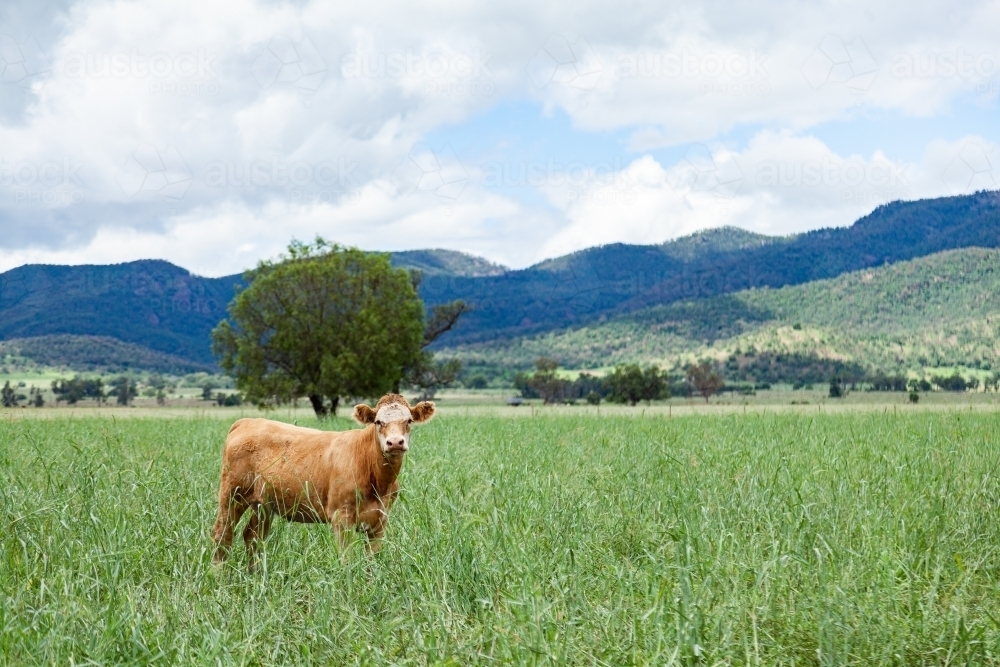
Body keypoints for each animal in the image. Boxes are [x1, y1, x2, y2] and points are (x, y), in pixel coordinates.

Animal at [210, 393, 435, 566]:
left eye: (409, 421)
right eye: (378, 422)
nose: (395, 442)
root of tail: (247, 421)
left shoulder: (380, 519)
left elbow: (372, 561)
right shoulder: (341, 516)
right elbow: (346, 560)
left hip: (263, 504)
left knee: (253, 537)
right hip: (232, 495)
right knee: (222, 535)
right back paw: (218, 577)